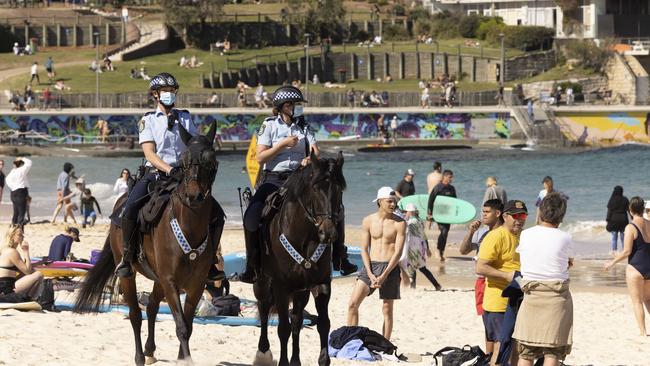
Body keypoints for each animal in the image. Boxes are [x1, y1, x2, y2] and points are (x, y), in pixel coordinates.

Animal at [74, 122, 223, 364]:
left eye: (211, 160)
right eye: (183, 160)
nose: (194, 196)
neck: (189, 227)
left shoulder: (195, 286)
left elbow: (188, 325)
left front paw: (182, 358)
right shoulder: (171, 282)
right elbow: (181, 327)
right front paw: (185, 359)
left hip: (158, 279)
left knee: (152, 306)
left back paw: (150, 350)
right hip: (130, 274)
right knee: (135, 314)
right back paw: (139, 357)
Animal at [252, 151, 344, 366]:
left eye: (340, 190)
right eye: (315, 189)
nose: (328, 233)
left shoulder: (321, 284)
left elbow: (323, 324)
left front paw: (323, 359)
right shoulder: (281, 287)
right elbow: (282, 328)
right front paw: (282, 361)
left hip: (301, 291)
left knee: (296, 321)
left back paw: (295, 359)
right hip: (262, 282)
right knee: (263, 309)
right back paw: (263, 352)